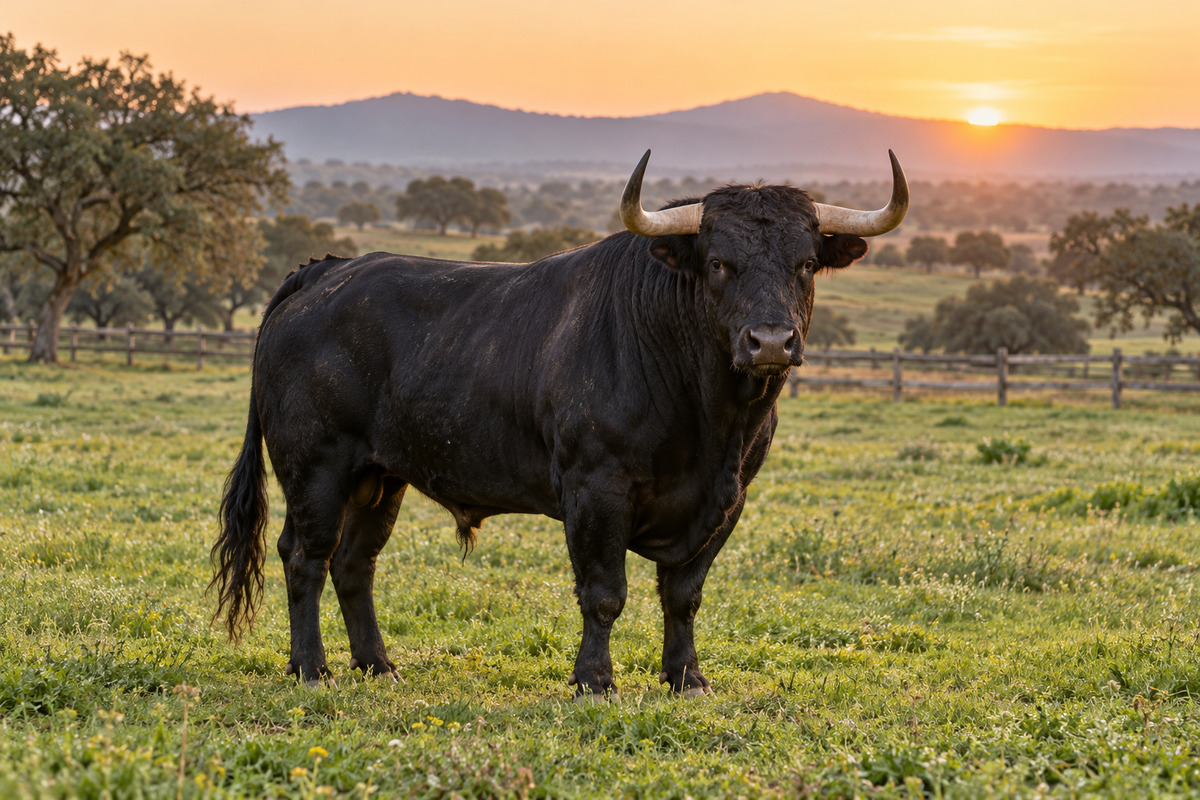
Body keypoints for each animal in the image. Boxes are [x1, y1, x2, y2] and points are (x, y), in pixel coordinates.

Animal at [210, 150, 908, 700]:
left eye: (805, 263)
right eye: (717, 262)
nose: (769, 341)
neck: (711, 420)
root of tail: (326, 270)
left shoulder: (728, 500)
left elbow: (683, 594)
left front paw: (687, 678)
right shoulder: (596, 488)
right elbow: (604, 593)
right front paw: (594, 680)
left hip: (380, 476)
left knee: (355, 564)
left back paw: (379, 666)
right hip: (316, 467)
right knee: (305, 557)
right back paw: (312, 669)